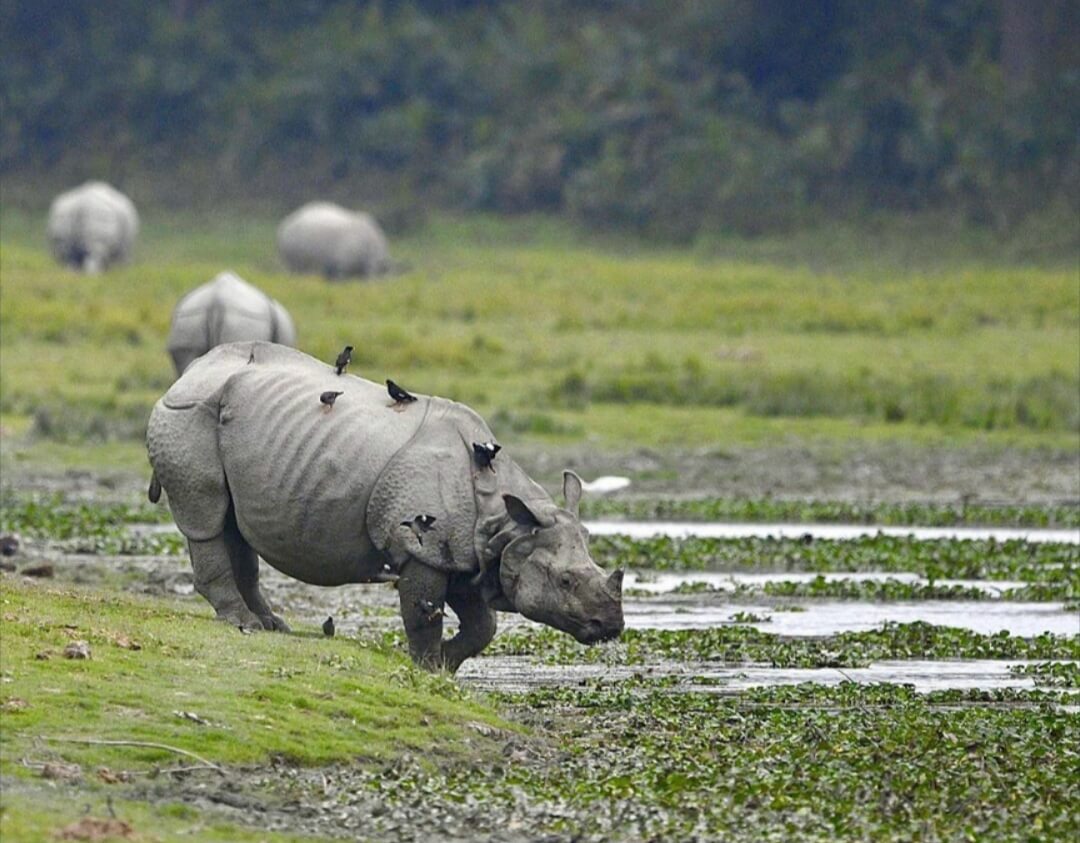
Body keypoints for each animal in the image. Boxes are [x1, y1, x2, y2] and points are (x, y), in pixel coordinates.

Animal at [147, 341, 630, 669]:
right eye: (565, 582)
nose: (612, 626)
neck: (506, 521)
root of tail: (188, 372)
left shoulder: (463, 549)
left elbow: (482, 625)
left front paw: (446, 666)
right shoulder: (424, 548)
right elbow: (422, 613)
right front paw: (425, 668)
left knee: (235, 526)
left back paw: (271, 626)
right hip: (185, 416)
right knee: (206, 518)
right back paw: (243, 624)